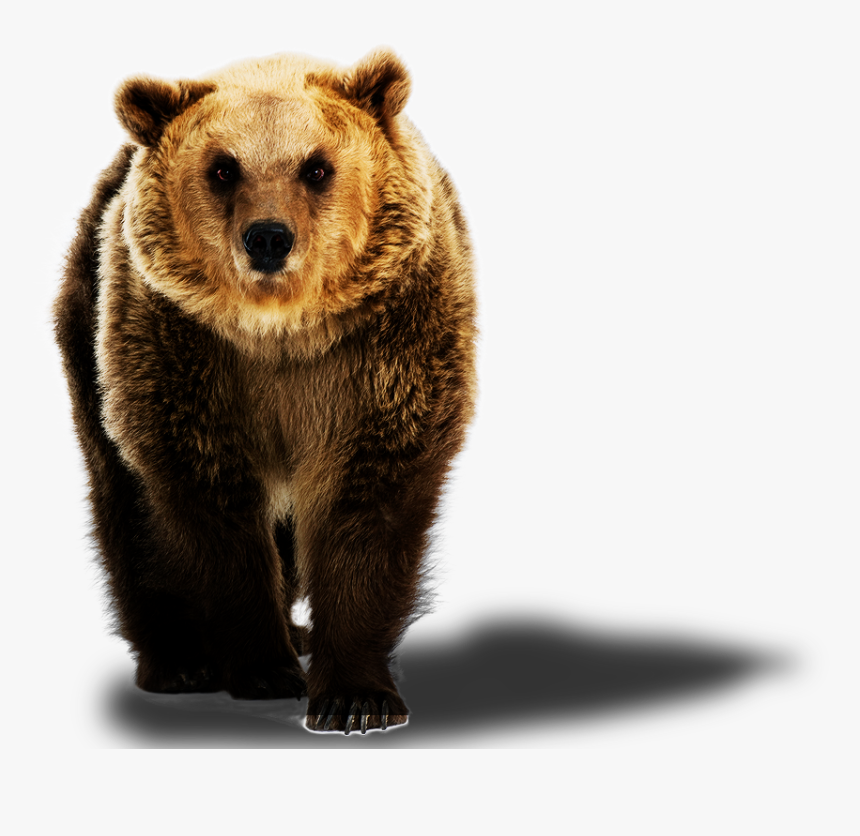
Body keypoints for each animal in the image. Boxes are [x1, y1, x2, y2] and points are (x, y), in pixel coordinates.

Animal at [53, 48, 476, 734]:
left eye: (317, 166)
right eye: (224, 168)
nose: (269, 237)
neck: (281, 334)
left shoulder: (386, 347)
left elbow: (368, 503)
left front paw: (354, 697)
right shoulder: (180, 350)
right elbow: (210, 510)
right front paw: (263, 667)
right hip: (87, 323)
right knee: (124, 504)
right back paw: (179, 660)